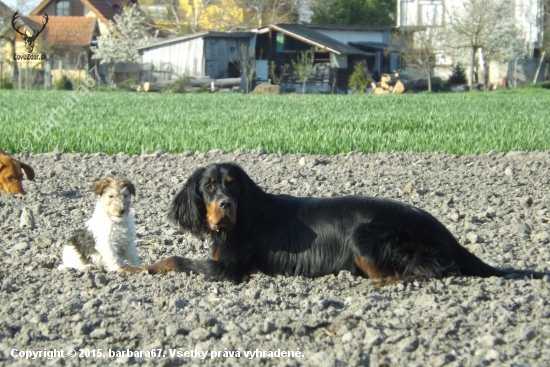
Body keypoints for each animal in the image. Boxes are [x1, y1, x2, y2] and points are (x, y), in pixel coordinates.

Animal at [124, 163, 550, 284]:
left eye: (234, 186)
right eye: (209, 186)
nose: (226, 205)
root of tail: (445, 232)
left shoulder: (227, 270)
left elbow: (176, 260)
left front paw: (140, 268)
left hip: (364, 235)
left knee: (424, 271)